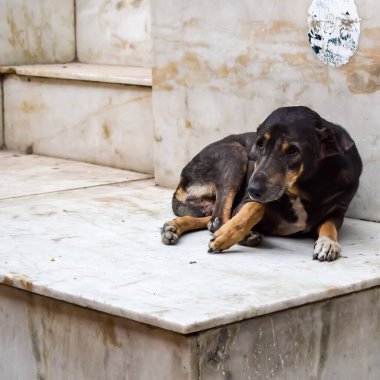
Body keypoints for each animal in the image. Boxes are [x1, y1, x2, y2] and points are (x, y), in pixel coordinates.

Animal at [160, 107, 362, 262]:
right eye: (259, 144)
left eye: (292, 151)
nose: (252, 189)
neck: (306, 188)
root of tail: (181, 182)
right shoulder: (246, 201)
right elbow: (256, 207)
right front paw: (229, 234)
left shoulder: (338, 211)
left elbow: (329, 225)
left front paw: (328, 243)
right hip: (235, 152)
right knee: (217, 220)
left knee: (211, 220)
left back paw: (174, 227)